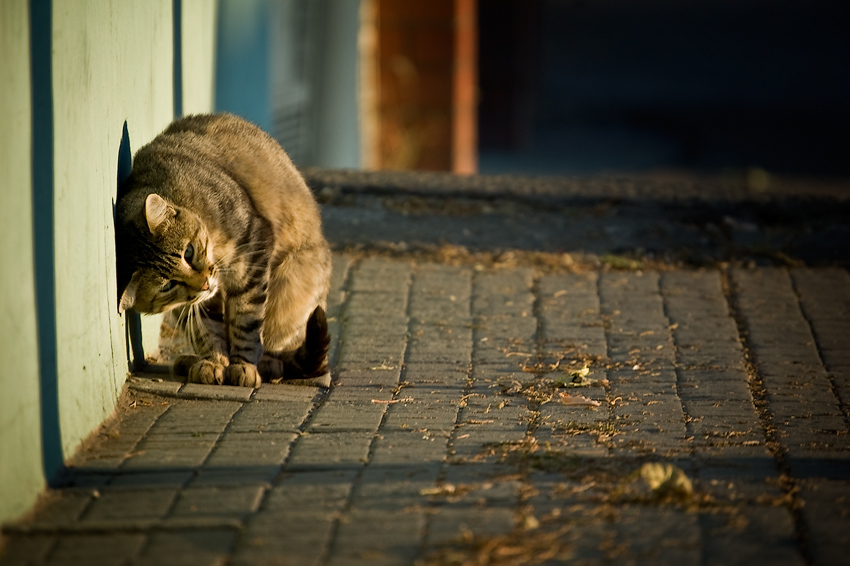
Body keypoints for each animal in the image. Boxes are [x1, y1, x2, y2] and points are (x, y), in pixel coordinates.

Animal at [115, 115, 332, 390]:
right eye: (167, 286)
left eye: (188, 252)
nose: (205, 284)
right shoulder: (198, 303)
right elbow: (209, 331)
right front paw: (214, 362)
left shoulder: (253, 252)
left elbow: (246, 320)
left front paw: (242, 364)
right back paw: (189, 361)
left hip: (292, 289)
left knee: (280, 346)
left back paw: (268, 363)